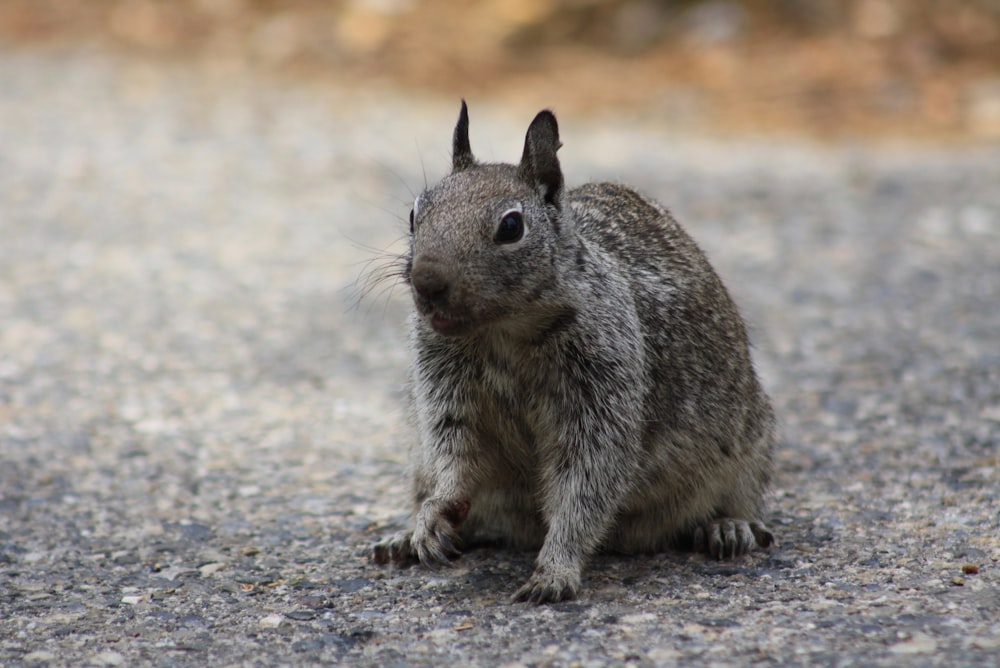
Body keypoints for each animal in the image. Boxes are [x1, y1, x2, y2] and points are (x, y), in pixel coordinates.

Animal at [372, 100, 776, 604]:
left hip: (749, 447)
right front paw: (433, 515)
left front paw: (555, 571)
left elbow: (584, 486)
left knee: (742, 498)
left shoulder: (601, 397)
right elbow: (454, 455)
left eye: (511, 226)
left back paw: (729, 527)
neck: (501, 332)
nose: (426, 281)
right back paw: (406, 537)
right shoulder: (446, 393)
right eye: (414, 213)